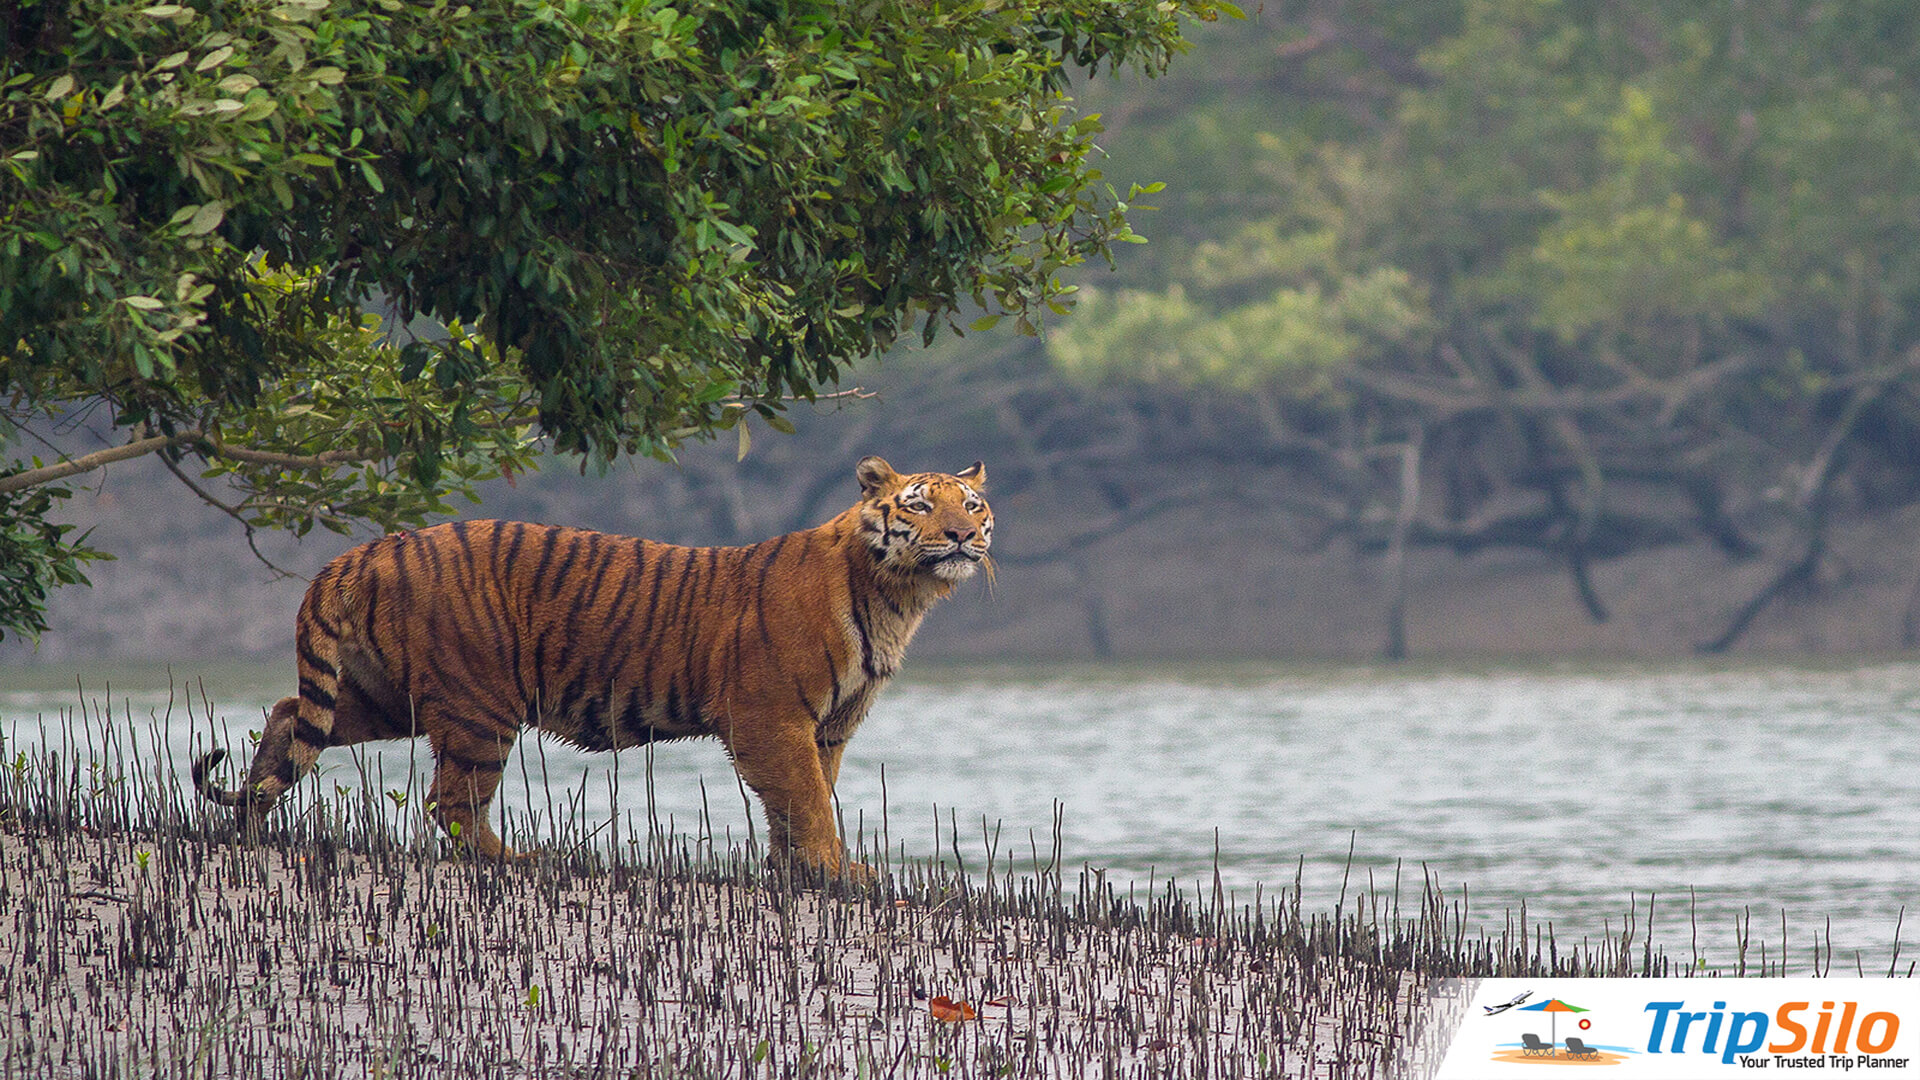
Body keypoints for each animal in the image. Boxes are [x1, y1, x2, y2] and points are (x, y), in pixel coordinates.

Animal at [194, 455, 998, 876]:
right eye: (918, 506)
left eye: (973, 504)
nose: (963, 535)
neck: (898, 595)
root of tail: (367, 549)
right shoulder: (773, 717)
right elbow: (806, 799)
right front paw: (836, 869)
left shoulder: (827, 726)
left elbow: (800, 801)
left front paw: (796, 872)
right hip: (479, 704)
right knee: (450, 803)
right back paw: (521, 861)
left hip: (384, 695)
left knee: (289, 716)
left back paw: (254, 819)